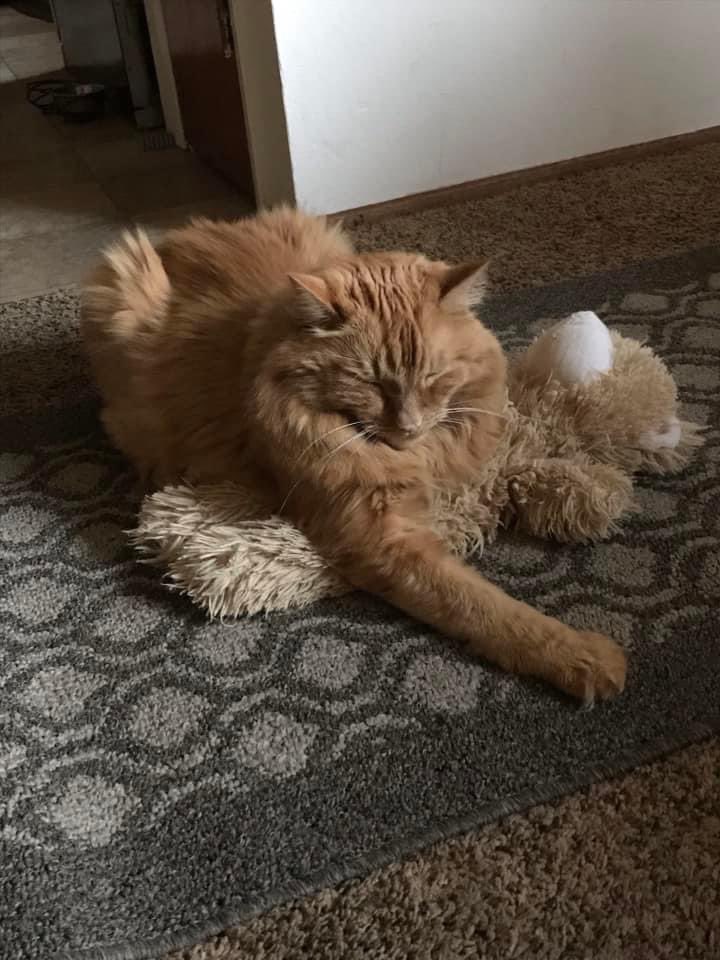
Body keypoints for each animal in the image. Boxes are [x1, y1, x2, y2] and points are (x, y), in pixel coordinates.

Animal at [81, 206, 628, 700]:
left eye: (433, 376)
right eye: (371, 382)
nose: (408, 425)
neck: (421, 458)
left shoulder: (476, 453)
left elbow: (530, 460)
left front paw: (585, 491)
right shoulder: (381, 537)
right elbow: (484, 606)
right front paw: (581, 657)